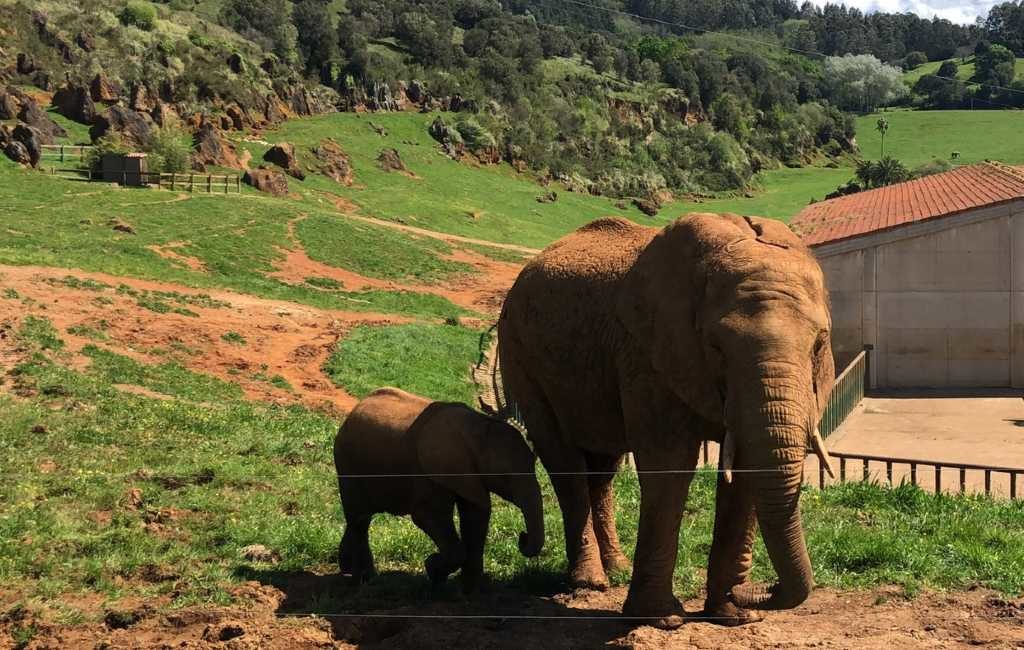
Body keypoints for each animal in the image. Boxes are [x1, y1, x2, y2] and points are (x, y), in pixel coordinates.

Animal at [333, 388, 544, 593]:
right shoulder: (430, 471)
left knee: (360, 519)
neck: (477, 427)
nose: (522, 537)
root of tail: (355, 410)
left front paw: (470, 591)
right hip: (346, 463)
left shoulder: (469, 474)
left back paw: (350, 571)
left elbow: (476, 515)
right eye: (505, 476)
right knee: (359, 519)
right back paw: (363, 579)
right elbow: (427, 515)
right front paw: (432, 569)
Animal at [497, 215, 839, 626]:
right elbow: (669, 465)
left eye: (819, 344)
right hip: (520, 355)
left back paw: (616, 568)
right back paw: (591, 581)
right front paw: (662, 619)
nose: (758, 589)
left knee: (603, 466)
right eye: (716, 347)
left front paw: (732, 615)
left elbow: (743, 472)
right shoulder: (647, 354)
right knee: (563, 459)